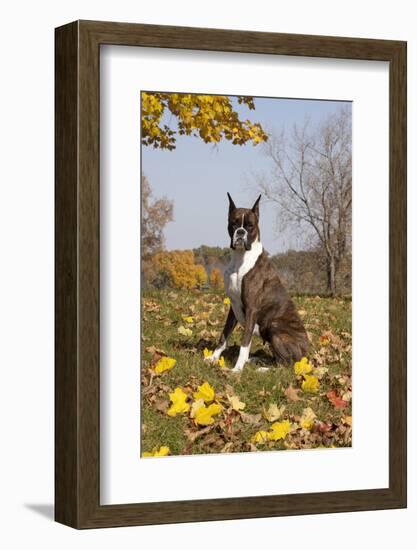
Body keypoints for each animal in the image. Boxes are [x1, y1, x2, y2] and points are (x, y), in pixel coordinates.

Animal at [206, 194, 308, 376]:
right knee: (276, 359)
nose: (240, 232)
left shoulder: (251, 309)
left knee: (285, 365)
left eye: (250, 225)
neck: (240, 258)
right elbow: (224, 335)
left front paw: (237, 369)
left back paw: (262, 368)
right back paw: (255, 360)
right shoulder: (233, 308)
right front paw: (213, 358)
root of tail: (307, 355)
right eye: (234, 223)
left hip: (274, 327)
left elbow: (245, 343)